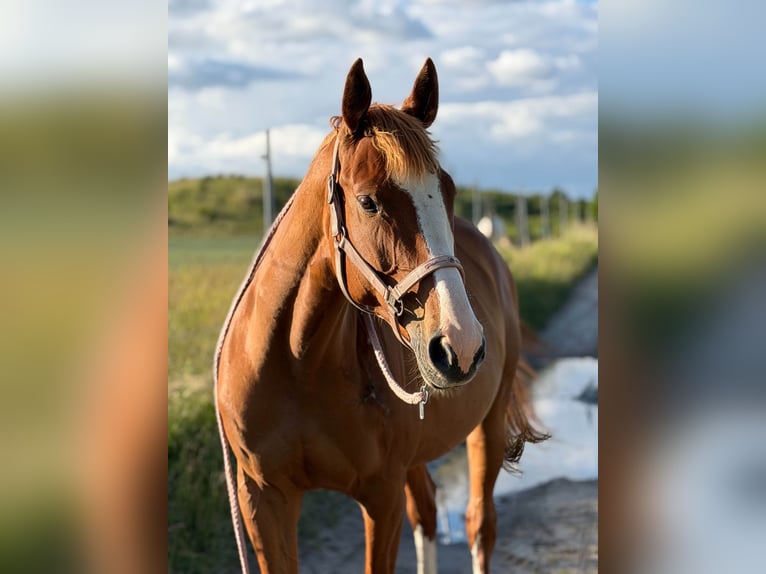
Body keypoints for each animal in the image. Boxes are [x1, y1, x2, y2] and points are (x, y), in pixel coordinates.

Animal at [215, 58, 546, 574]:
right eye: (368, 201)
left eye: (448, 191)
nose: (461, 343)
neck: (297, 364)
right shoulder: (262, 500)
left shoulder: (381, 495)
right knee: (428, 511)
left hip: (487, 428)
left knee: (479, 524)